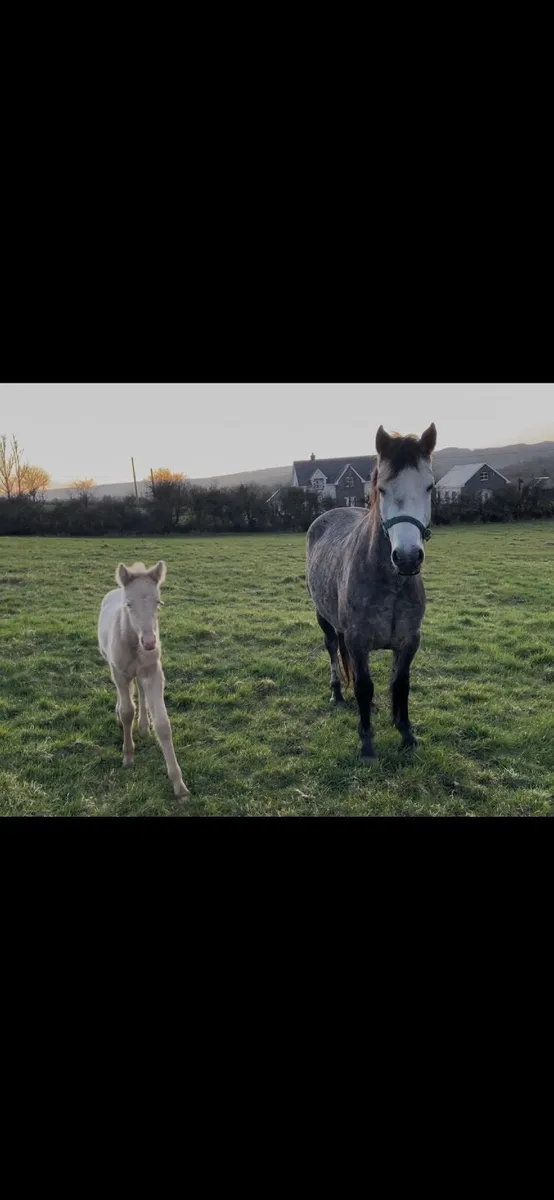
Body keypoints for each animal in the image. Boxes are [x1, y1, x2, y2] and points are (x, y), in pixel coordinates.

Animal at [98, 560, 189, 800]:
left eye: (158, 602)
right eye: (129, 605)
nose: (149, 642)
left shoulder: (154, 673)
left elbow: (163, 724)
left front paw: (179, 785)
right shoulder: (120, 672)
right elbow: (127, 711)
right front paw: (128, 757)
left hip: (142, 673)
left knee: (139, 688)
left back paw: (144, 727)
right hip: (113, 667)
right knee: (123, 693)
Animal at [306, 423, 436, 761]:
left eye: (429, 487)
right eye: (383, 489)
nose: (407, 558)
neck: (390, 584)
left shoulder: (409, 641)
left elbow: (399, 685)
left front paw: (405, 733)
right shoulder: (358, 640)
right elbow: (364, 686)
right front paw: (366, 743)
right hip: (324, 619)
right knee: (332, 650)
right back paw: (337, 693)